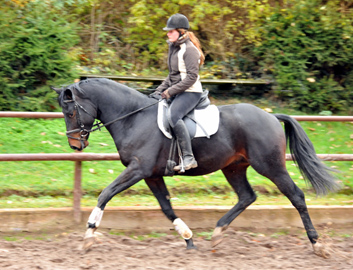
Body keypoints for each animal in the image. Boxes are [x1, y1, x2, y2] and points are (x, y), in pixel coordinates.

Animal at [51, 77, 336, 258]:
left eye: (71, 112)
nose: (75, 145)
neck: (133, 118)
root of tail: (271, 116)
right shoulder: (152, 175)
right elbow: (166, 207)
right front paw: (188, 238)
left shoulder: (138, 170)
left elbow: (106, 194)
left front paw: (89, 235)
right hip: (234, 167)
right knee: (247, 196)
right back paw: (218, 233)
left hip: (270, 166)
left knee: (296, 196)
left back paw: (317, 245)